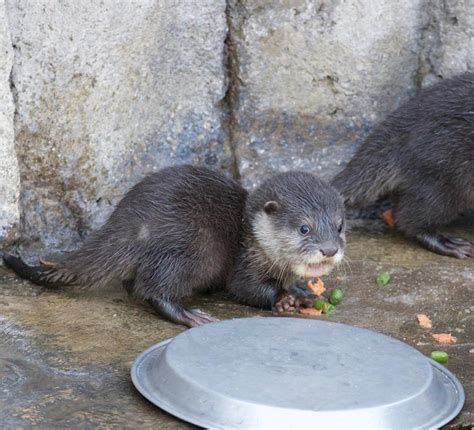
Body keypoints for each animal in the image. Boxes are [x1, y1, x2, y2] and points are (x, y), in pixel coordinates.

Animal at [2, 166, 344, 328]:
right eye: (304, 228)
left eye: (339, 226)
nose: (329, 249)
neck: (253, 238)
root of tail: (129, 222)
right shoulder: (244, 263)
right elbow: (245, 288)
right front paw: (283, 299)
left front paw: (303, 293)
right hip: (189, 248)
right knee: (154, 289)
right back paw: (189, 315)